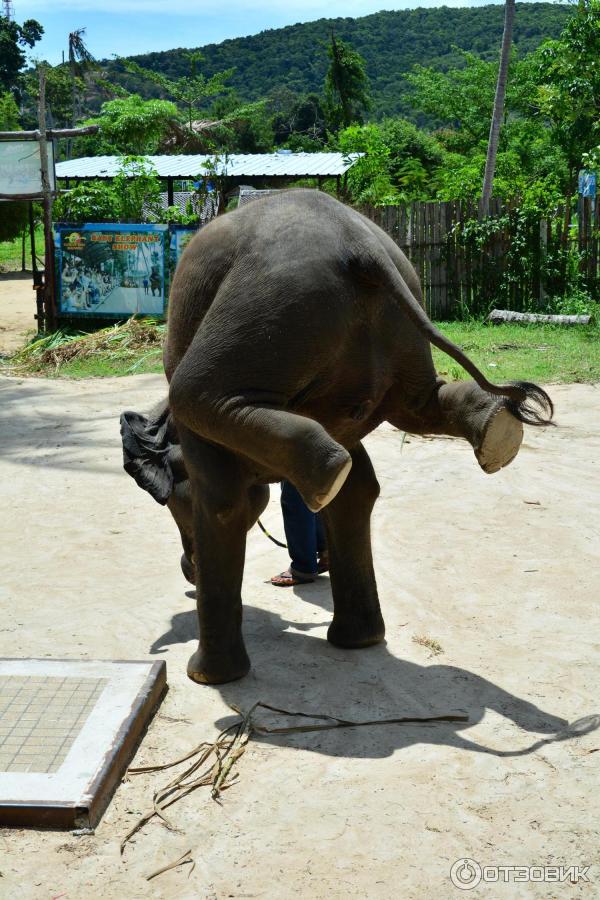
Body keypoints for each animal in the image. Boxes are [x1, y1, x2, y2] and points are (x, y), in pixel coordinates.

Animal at [118, 188, 552, 684]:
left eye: (171, 506)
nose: (188, 574)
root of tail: (362, 247)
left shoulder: (196, 442)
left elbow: (224, 500)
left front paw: (206, 677)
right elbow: (359, 488)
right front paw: (358, 641)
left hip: (277, 304)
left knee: (194, 391)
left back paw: (324, 471)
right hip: (388, 315)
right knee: (416, 405)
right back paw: (490, 431)